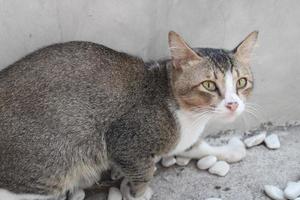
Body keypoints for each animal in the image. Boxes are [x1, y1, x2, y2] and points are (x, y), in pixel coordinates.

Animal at [0, 30, 258, 200]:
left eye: (241, 82)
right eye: (209, 85)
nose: (233, 104)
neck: (190, 116)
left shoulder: (181, 138)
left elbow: (196, 146)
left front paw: (229, 150)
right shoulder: (124, 139)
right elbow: (143, 172)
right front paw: (139, 192)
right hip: (51, 163)